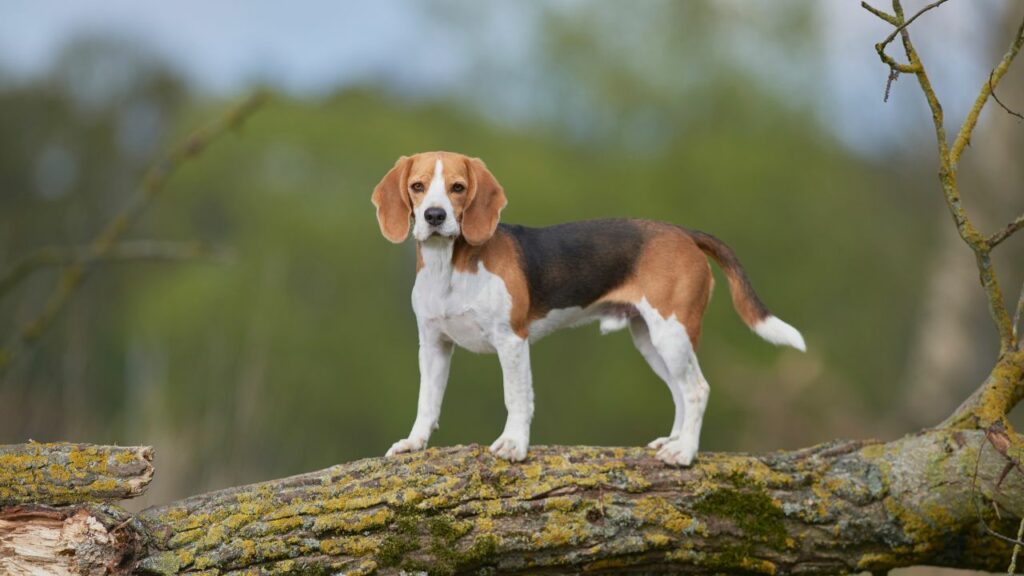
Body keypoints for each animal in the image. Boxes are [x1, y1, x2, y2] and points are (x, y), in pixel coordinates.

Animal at [372, 150, 802, 463]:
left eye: (458, 187)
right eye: (417, 186)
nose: (434, 216)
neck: (449, 267)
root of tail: (684, 233)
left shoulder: (511, 342)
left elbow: (517, 397)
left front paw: (513, 444)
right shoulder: (433, 345)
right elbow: (426, 401)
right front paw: (413, 443)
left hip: (672, 332)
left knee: (697, 389)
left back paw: (684, 453)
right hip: (651, 340)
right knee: (680, 392)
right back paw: (674, 440)